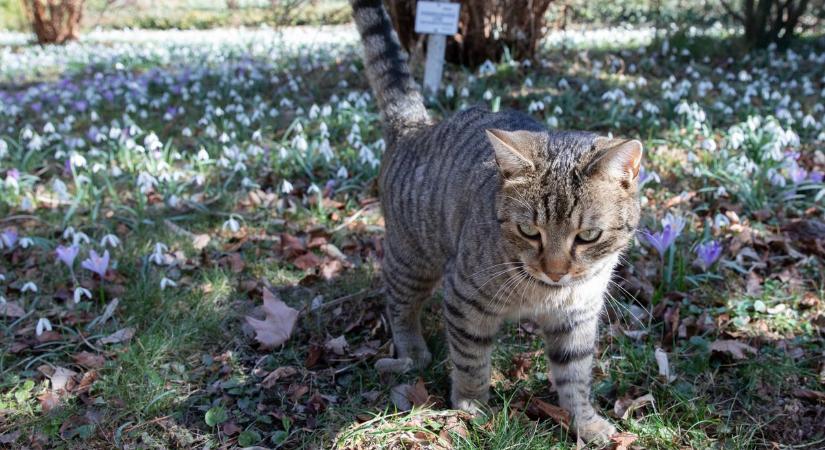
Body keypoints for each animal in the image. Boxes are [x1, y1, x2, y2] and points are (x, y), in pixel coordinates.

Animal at [350, 0, 640, 442]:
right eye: (529, 231)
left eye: (588, 236)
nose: (556, 272)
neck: (545, 294)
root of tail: (416, 126)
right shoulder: (465, 298)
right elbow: (470, 358)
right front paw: (471, 405)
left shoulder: (577, 316)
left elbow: (574, 375)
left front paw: (586, 422)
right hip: (412, 260)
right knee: (399, 303)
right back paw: (411, 351)